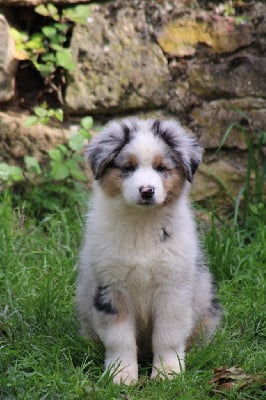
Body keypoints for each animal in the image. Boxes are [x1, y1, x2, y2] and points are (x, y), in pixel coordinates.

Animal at [76, 118, 222, 384]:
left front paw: (167, 373)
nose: (146, 191)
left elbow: (168, 337)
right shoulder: (111, 288)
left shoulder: (172, 289)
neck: (141, 223)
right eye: (128, 167)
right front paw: (121, 375)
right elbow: (119, 338)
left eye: (161, 168)